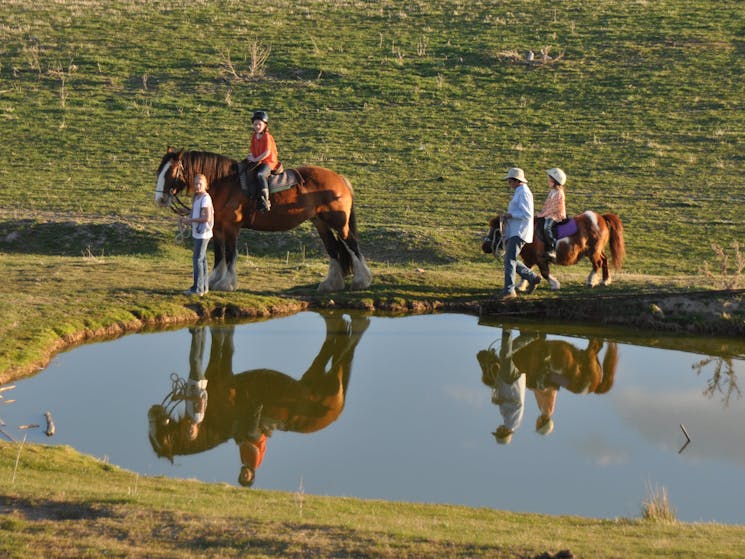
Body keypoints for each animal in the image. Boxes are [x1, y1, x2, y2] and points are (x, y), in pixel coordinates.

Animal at [155, 149, 372, 294]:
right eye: (159, 171)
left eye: (170, 172)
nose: (160, 199)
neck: (224, 184)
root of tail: (339, 178)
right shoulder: (217, 228)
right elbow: (219, 255)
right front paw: (214, 281)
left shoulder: (231, 227)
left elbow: (230, 254)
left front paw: (227, 284)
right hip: (321, 222)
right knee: (333, 249)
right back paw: (331, 284)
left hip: (338, 223)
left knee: (351, 244)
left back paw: (362, 280)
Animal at [480, 210, 624, 288]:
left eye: (495, 230)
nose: (484, 246)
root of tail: (601, 217)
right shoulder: (529, 258)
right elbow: (526, 270)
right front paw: (521, 286)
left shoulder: (540, 258)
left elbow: (544, 273)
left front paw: (555, 284)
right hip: (597, 250)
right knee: (604, 260)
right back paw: (605, 280)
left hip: (594, 250)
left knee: (597, 263)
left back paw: (590, 281)